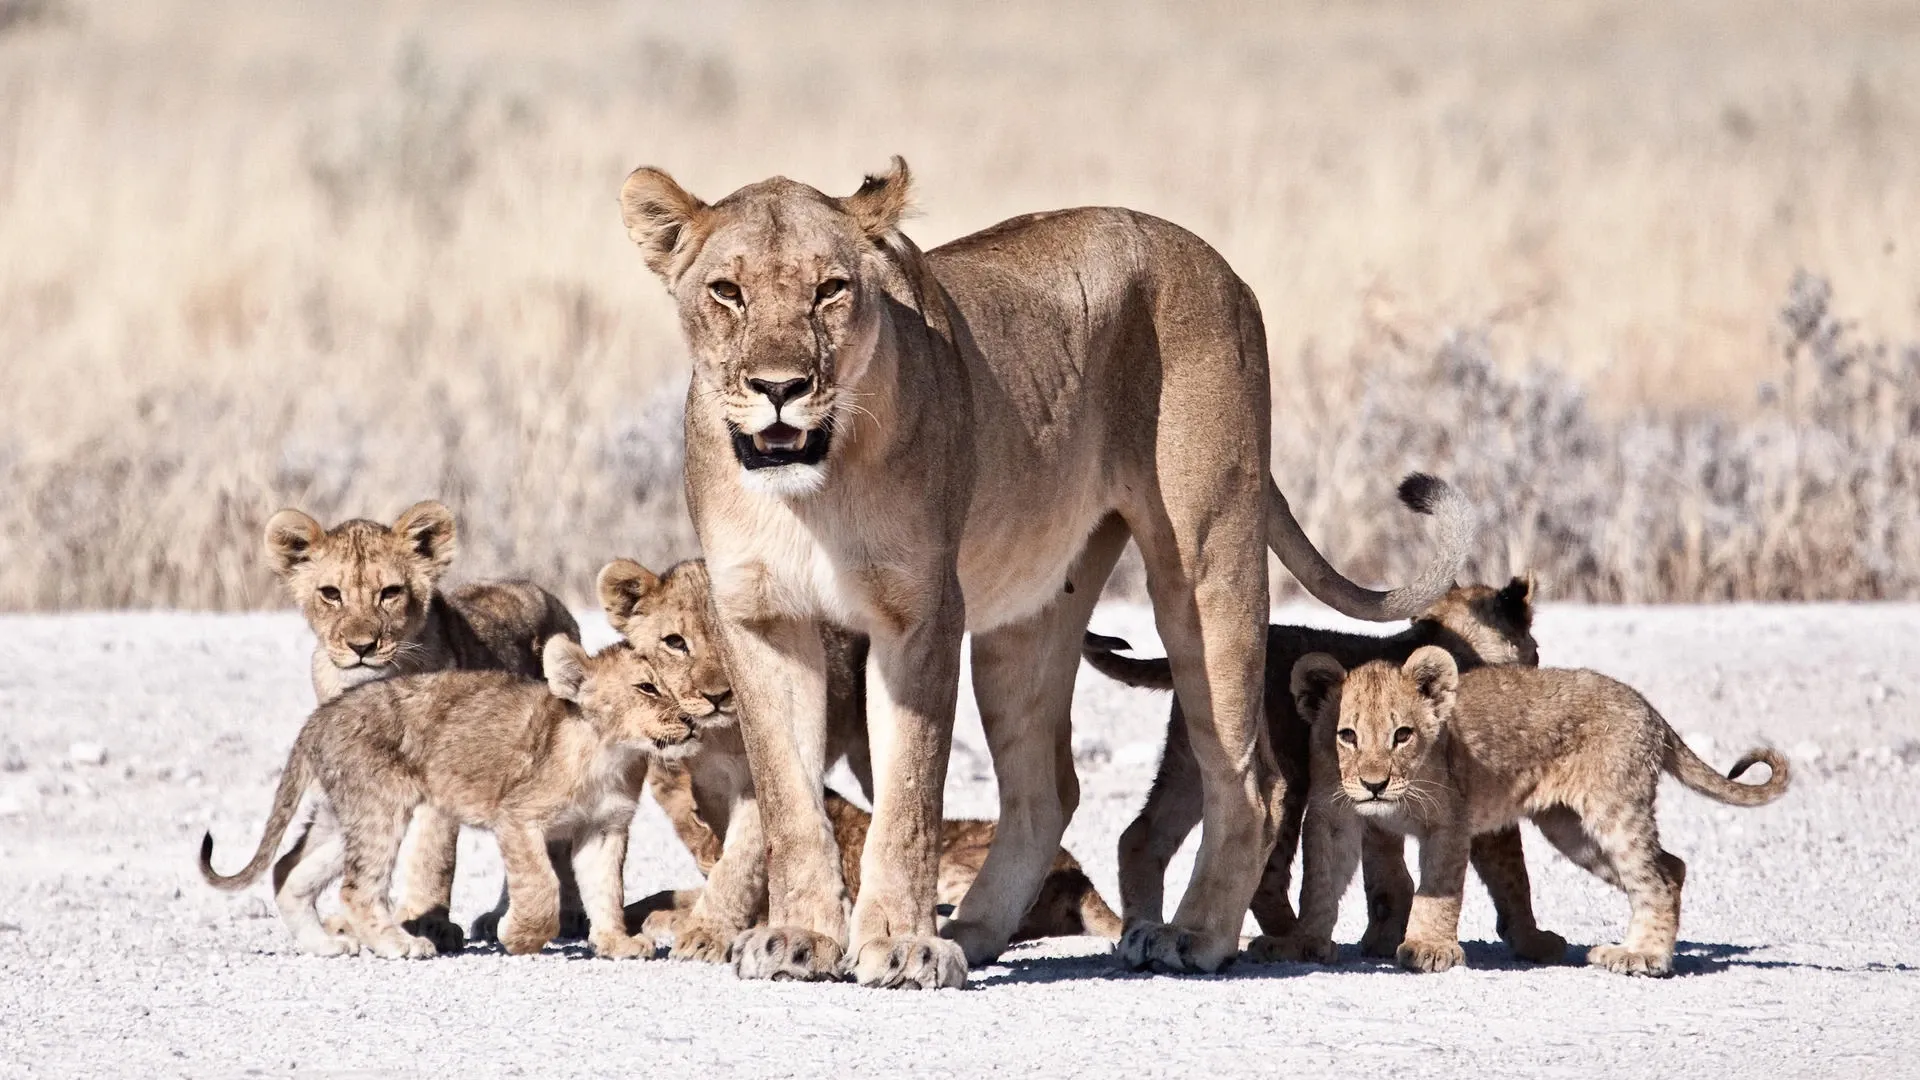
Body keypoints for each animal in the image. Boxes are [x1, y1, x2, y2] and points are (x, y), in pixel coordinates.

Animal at [199, 637, 696, 961]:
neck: (612, 753)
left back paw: (324, 945)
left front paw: (616, 943)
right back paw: (399, 945)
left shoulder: (604, 827)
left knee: (288, 870)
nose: (693, 721)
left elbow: (606, 888)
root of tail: (320, 716)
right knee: (357, 887)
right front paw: (517, 936)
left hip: (343, 815)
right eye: (647, 688)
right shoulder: (517, 817)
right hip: (381, 805)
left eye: (676, 686)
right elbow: (541, 886)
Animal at [263, 500, 582, 952]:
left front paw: (427, 922)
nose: (362, 647)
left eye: (390, 592)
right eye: (331, 594)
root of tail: (545, 594)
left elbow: (433, 854)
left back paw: (560, 916)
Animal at [618, 157, 1474, 986]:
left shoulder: (920, 616)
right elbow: (789, 801)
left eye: (831, 290)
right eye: (726, 292)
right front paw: (802, 939)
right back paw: (975, 931)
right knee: (1046, 791)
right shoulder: (761, 619)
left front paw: (900, 946)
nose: (779, 389)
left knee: (1250, 781)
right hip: (1027, 621)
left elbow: (908, 797)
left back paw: (1190, 936)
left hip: (1206, 567)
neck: (810, 492)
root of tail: (1221, 268)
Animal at [1087, 575, 1567, 966]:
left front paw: (1383, 938)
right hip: (1286, 775)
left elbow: (1387, 875)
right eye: (1536, 647)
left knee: (1141, 837)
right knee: (1267, 866)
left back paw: (1142, 933)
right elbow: (1512, 873)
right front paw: (1533, 941)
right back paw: (1288, 939)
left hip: (1192, 761)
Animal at [1270, 647, 1790, 976]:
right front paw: (1302, 942)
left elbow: (1438, 889)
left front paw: (1429, 948)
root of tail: (1647, 707)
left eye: (1402, 735)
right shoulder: (1332, 816)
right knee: (1672, 866)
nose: (1374, 785)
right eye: (1347, 735)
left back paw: (1642, 957)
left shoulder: (1450, 820)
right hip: (1573, 830)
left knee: (1656, 877)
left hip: (1613, 808)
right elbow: (1318, 883)